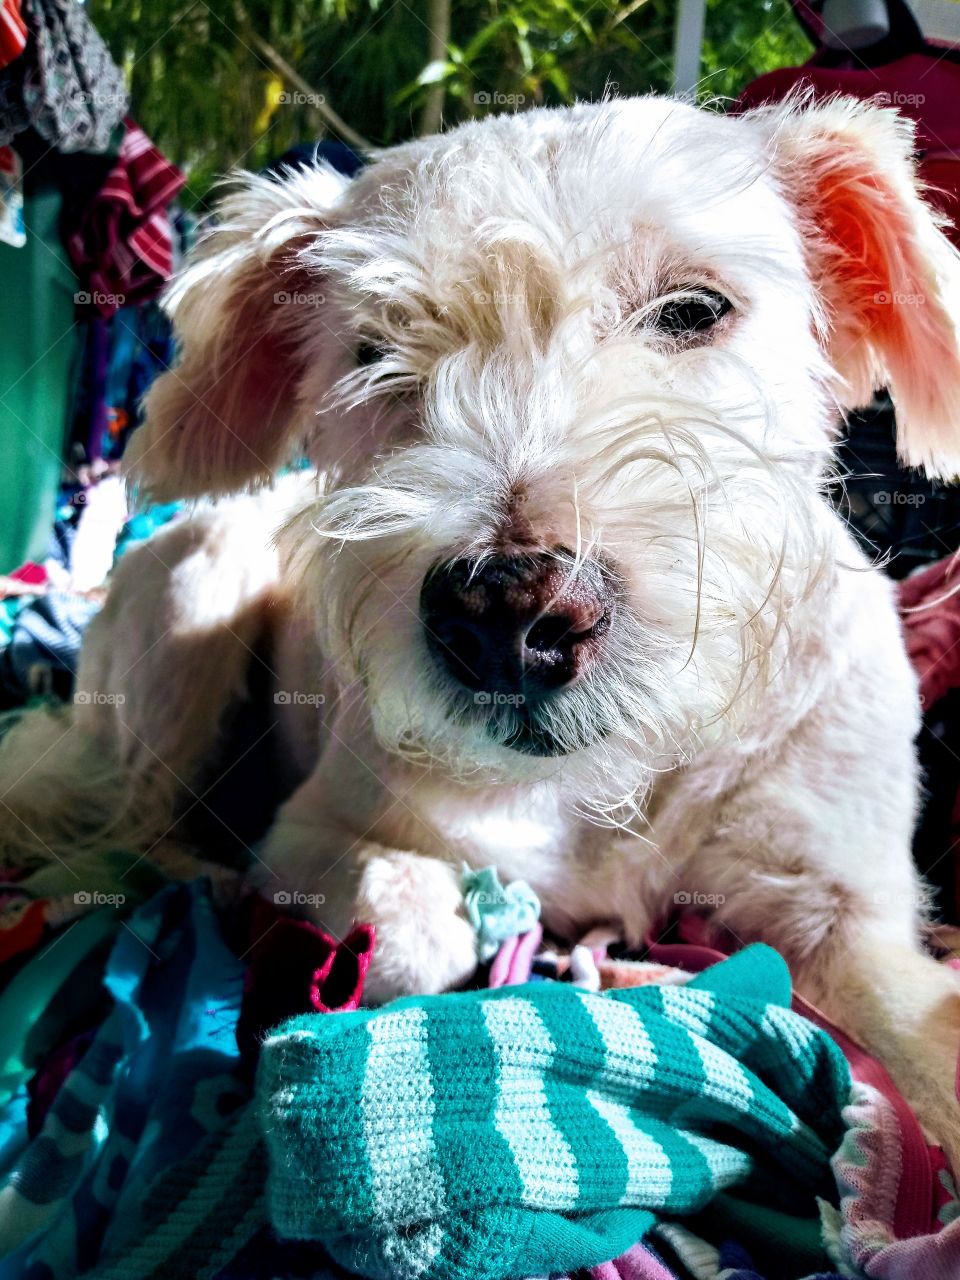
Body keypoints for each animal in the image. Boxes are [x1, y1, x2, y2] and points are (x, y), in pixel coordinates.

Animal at [5, 94, 960, 1162]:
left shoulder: (848, 914)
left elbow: (920, 1028)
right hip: (194, 603)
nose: (505, 618)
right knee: (133, 816)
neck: (615, 786)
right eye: (372, 353)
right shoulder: (314, 832)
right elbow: (417, 927)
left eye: (694, 309)